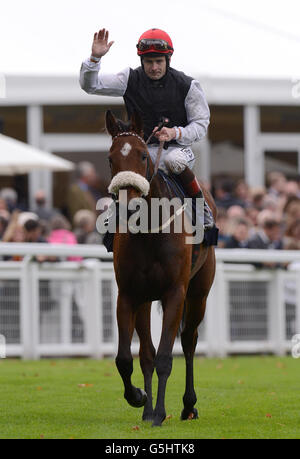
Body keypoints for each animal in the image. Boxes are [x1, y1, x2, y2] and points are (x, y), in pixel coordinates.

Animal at [105, 110, 216, 428]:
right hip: (145, 301)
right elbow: (126, 359)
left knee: (189, 341)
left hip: (198, 294)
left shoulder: (175, 293)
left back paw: (188, 405)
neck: (149, 233)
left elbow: (167, 357)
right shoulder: (128, 295)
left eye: (143, 155)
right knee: (146, 354)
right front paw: (139, 399)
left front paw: (159, 413)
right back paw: (147, 409)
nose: (128, 207)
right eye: (111, 158)